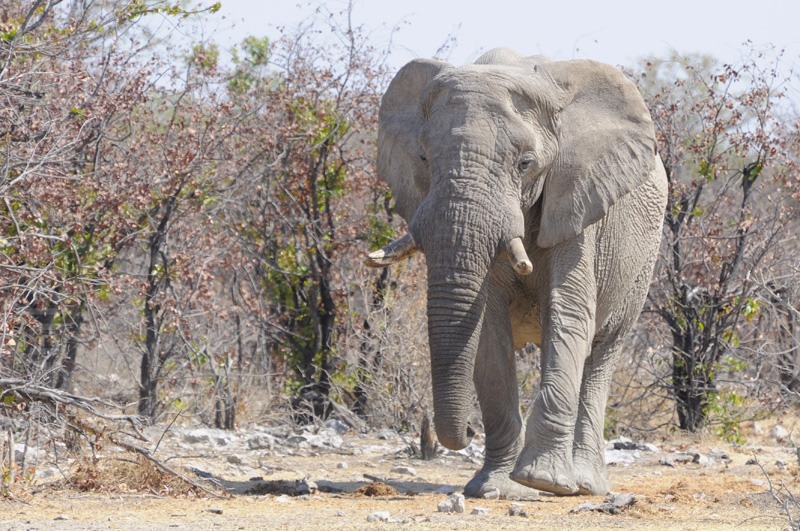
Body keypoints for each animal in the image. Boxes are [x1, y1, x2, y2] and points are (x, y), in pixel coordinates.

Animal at [368, 48, 668, 498]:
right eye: (423, 158)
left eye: (526, 163)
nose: (467, 432)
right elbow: (487, 330)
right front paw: (495, 488)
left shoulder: (577, 201)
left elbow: (569, 313)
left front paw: (542, 481)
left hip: (641, 263)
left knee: (602, 350)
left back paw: (585, 485)